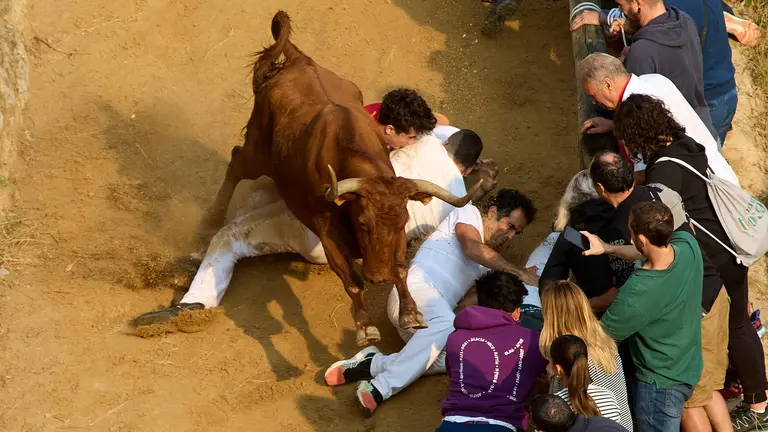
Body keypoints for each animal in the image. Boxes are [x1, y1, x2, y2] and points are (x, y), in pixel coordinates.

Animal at [199, 11, 481, 346]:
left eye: (401, 221)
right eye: (363, 223)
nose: (379, 277)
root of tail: (300, 61)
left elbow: (401, 267)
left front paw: (411, 313)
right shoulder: (326, 231)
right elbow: (352, 279)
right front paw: (365, 327)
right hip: (258, 153)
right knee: (237, 161)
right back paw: (211, 219)